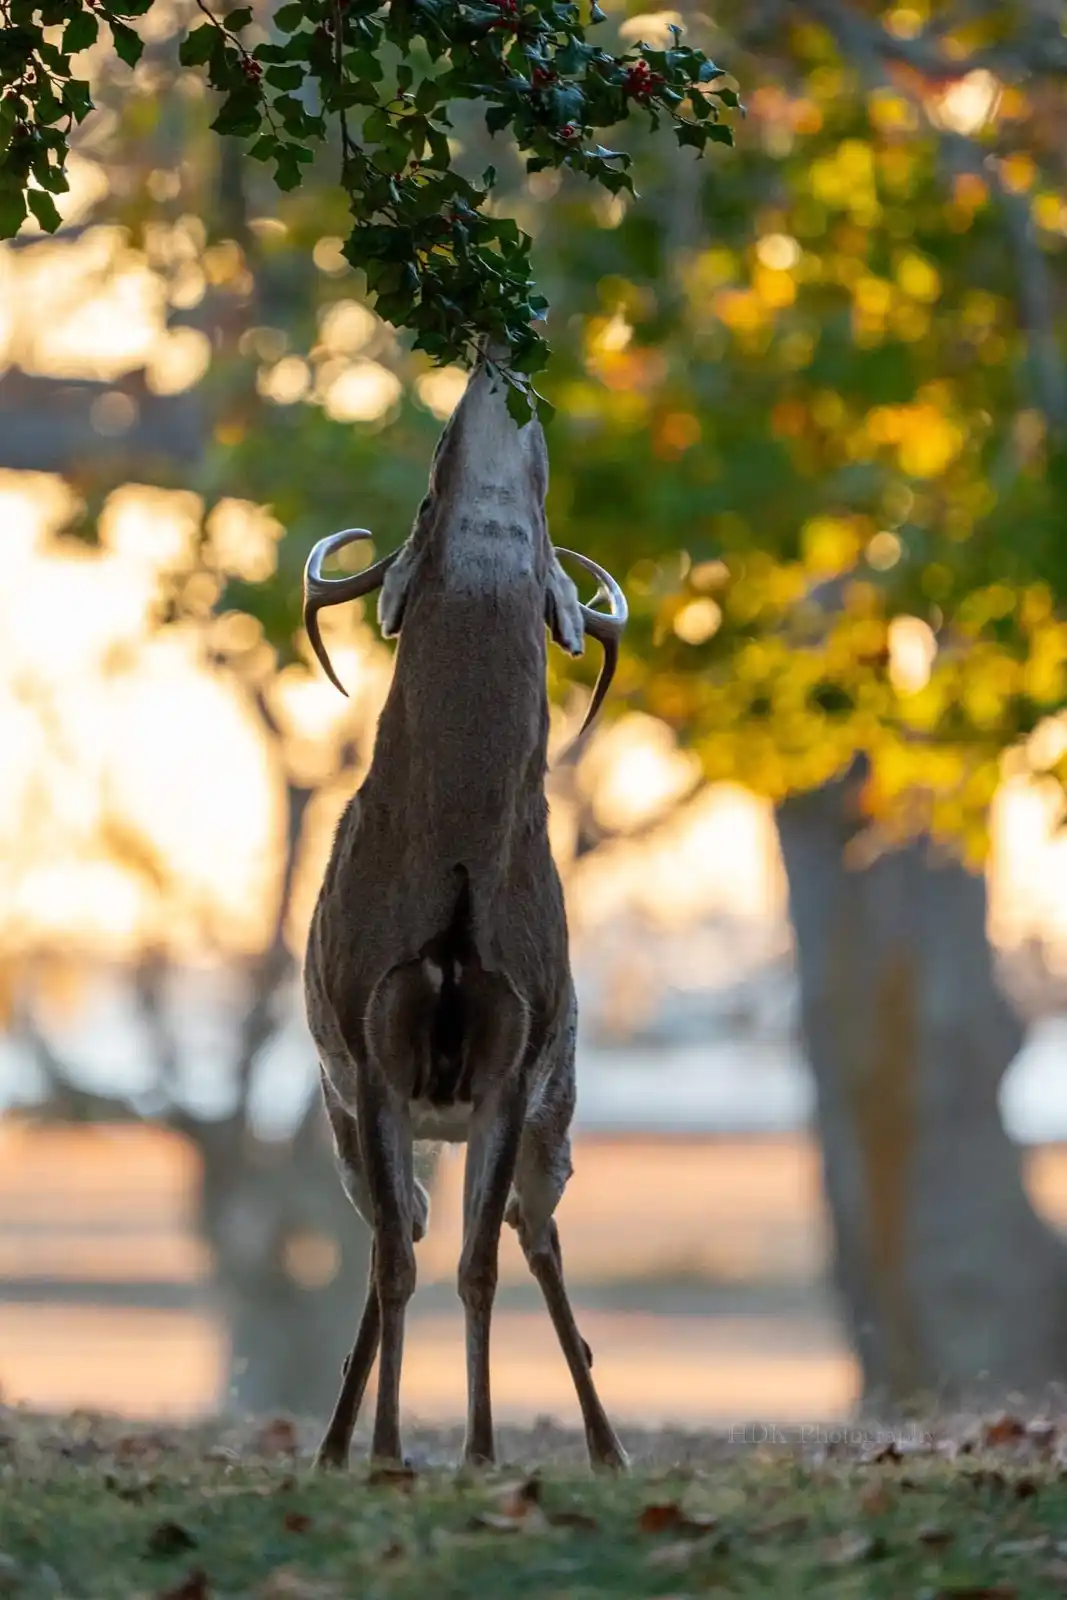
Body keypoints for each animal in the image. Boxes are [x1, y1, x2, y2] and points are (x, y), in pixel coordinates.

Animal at [300, 353, 628, 1474]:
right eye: (425, 499)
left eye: (543, 506)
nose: (497, 361)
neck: (453, 875)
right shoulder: (368, 1048)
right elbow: (398, 1265)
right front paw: (391, 1449)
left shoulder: (516, 1056)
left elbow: (479, 1263)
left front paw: (481, 1451)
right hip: (348, 1113)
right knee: (389, 1236)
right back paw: (335, 1442)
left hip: (557, 1110)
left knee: (537, 1238)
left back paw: (607, 1446)